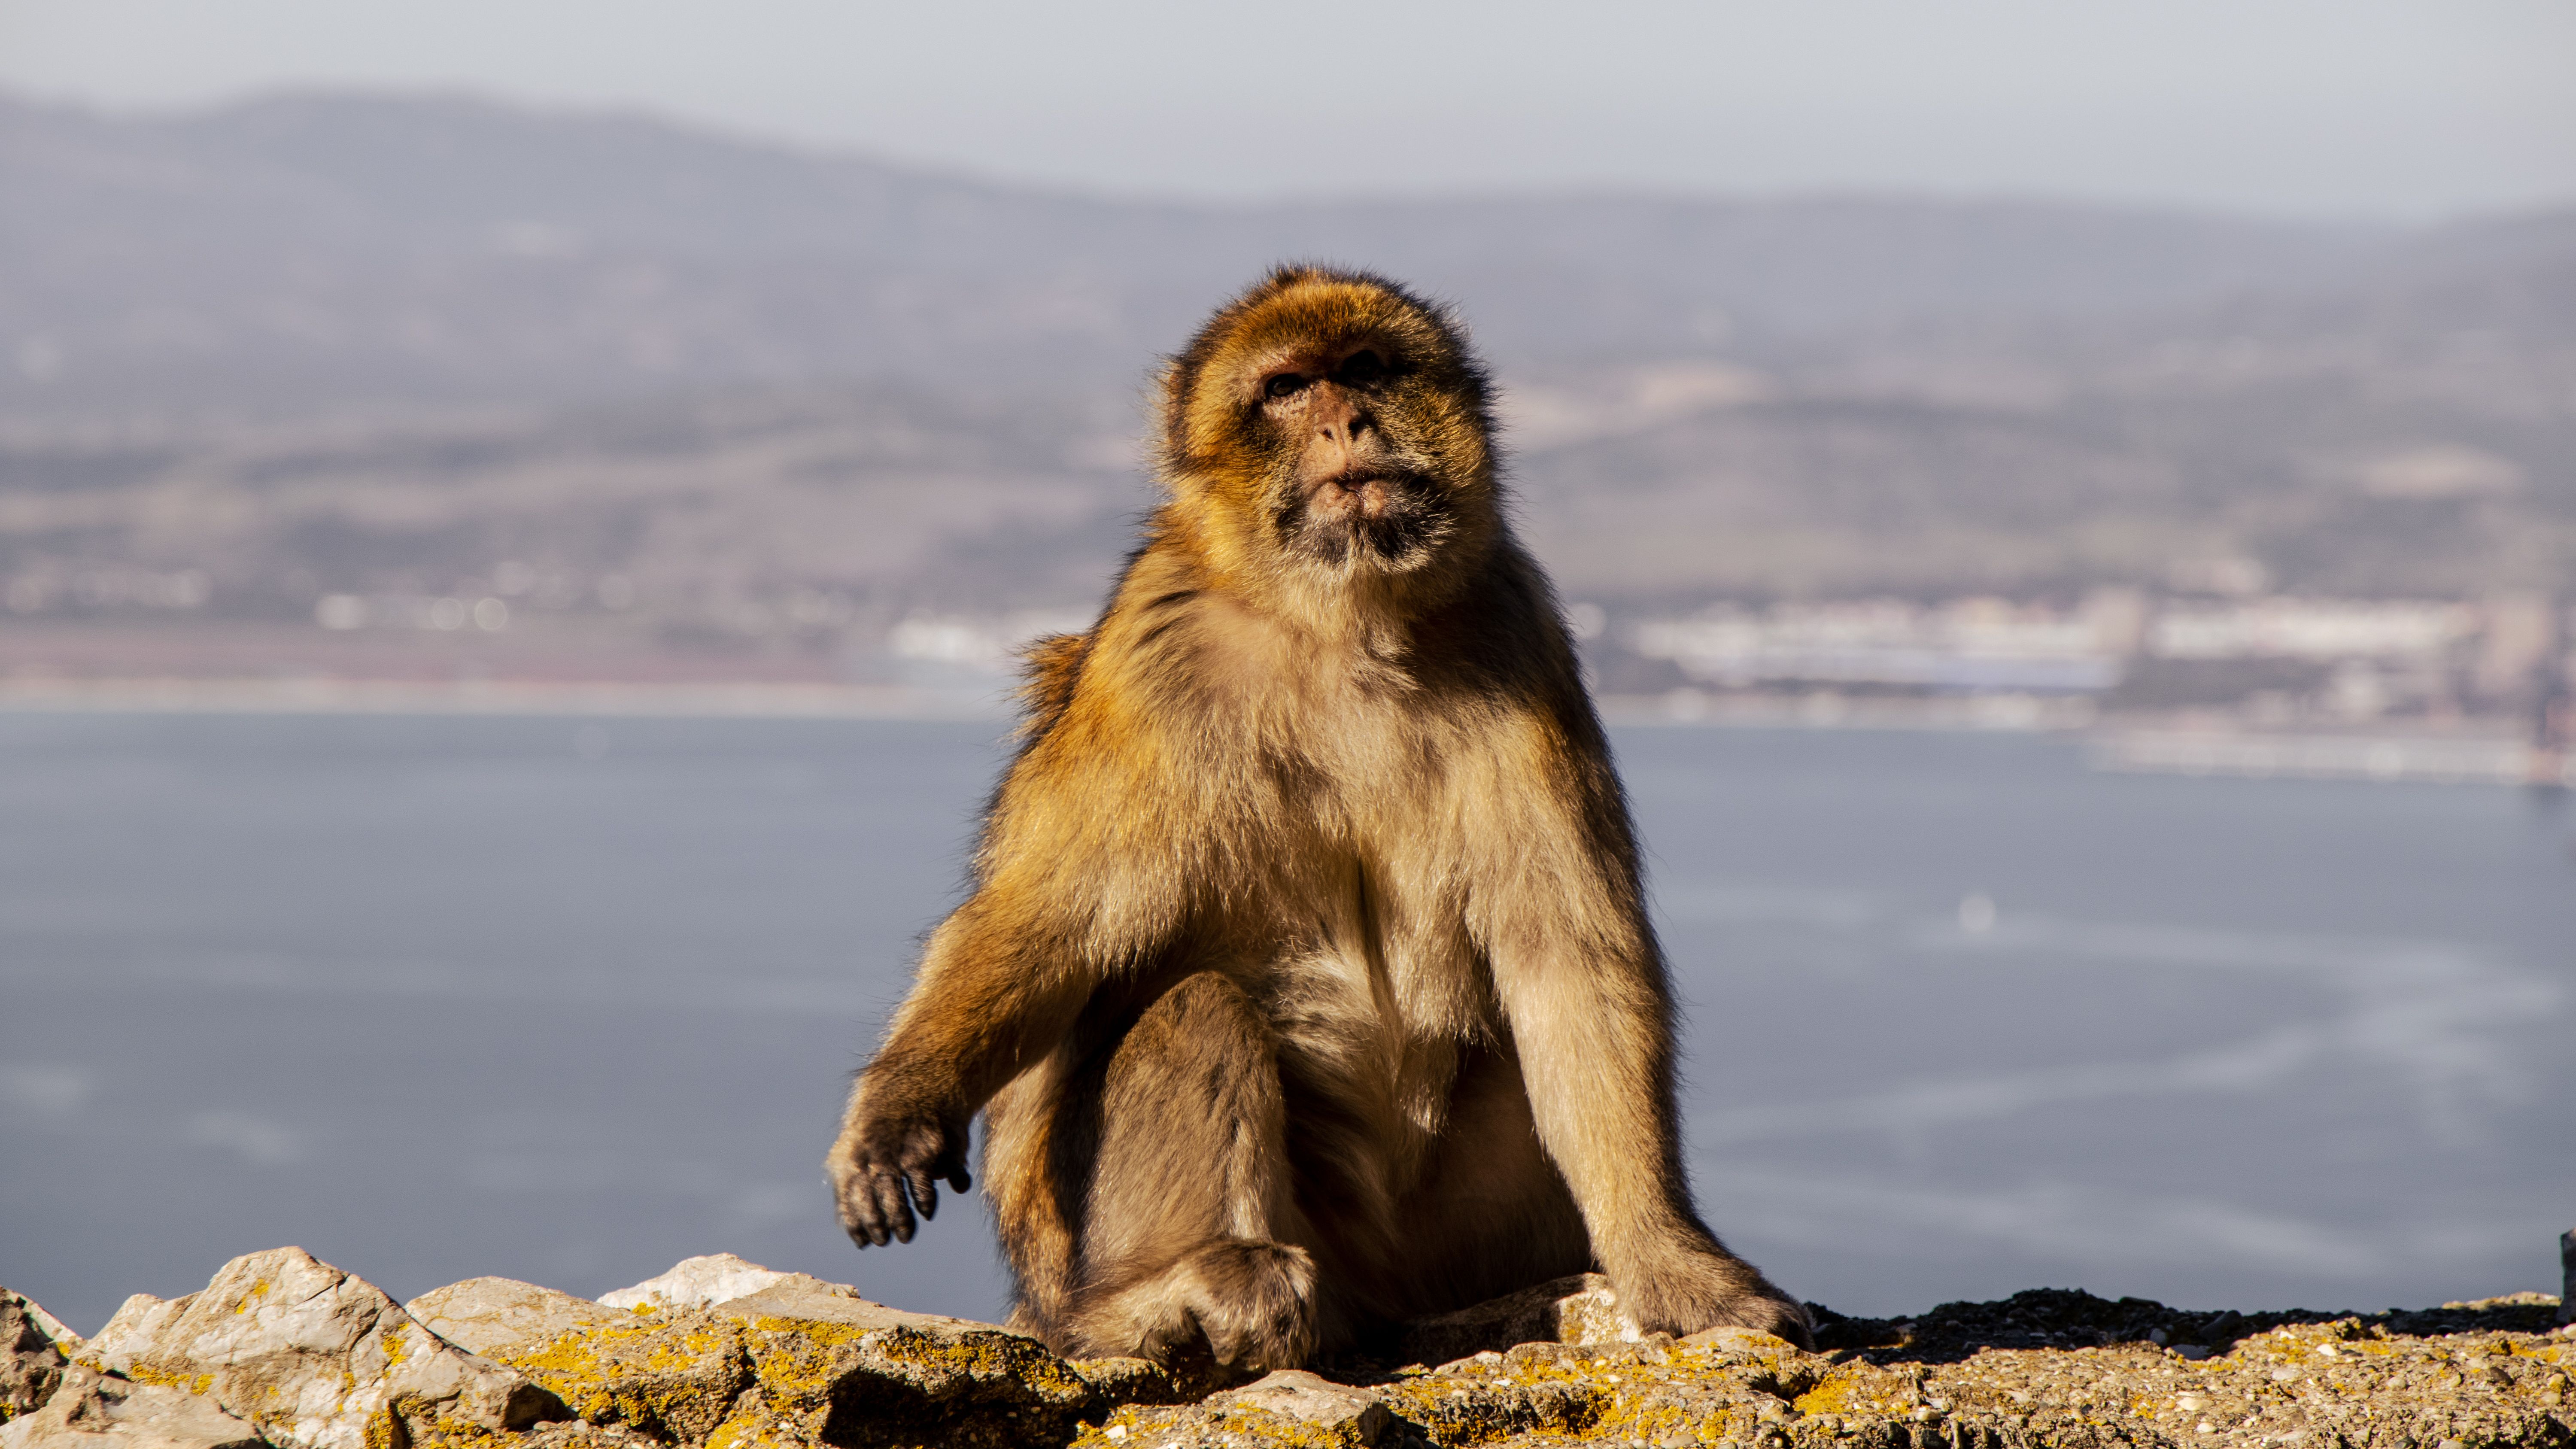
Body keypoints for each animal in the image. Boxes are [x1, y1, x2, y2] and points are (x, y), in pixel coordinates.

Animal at [826, 265, 1810, 1373]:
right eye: (1288, 389)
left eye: (1369, 368)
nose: (1347, 420)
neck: (1345, 620)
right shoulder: (1154, 656)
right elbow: (1052, 924)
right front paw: (898, 1113)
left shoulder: (1515, 627)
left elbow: (1571, 961)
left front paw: (1671, 1261)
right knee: (1196, 1007)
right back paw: (1176, 1290)